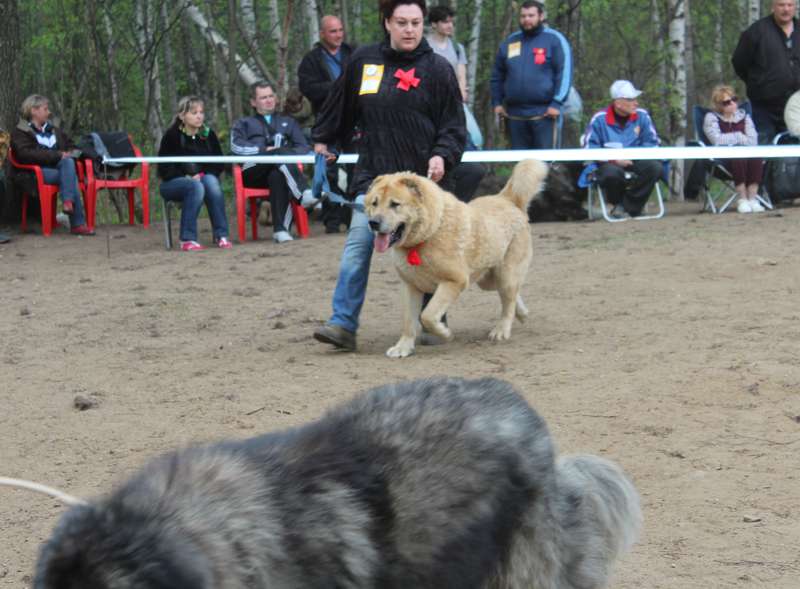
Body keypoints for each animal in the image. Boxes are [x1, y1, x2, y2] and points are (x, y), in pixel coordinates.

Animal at [364, 159, 548, 357]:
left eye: (395, 204)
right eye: (374, 203)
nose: (373, 223)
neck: (430, 232)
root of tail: (507, 199)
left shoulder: (454, 281)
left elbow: (427, 316)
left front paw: (444, 333)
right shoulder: (411, 286)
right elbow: (408, 321)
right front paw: (403, 347)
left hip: (505, 274)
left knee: (508, 301)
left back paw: (501, 330)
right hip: (487, 279)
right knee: (512, 295)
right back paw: (522, 313)